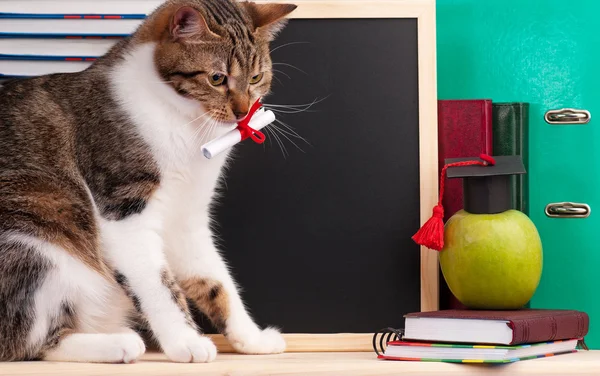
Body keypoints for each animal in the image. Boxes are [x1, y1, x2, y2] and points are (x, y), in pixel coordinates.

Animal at [0, 0, 298, 364]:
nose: (243, 112)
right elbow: (158, 283)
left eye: (256, 77)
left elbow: (216, 279)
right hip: (33, 219)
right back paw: (118, 344)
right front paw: (187, 341)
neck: (186, 124)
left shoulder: (187, 218)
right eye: (217, 78)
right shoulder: (124, 209)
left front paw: (251, 338)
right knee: (27, 342)